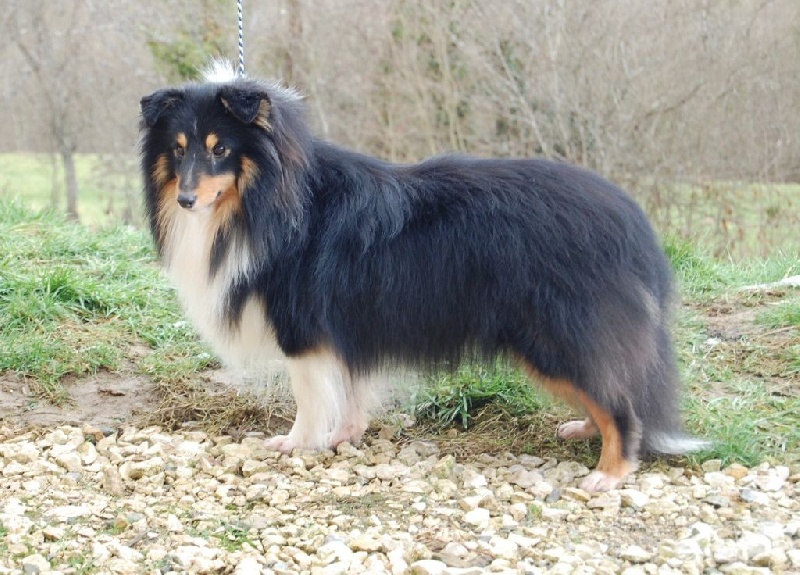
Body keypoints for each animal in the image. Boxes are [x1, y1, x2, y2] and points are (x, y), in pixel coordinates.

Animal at [139, 64, 708, 496]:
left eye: (221, 149)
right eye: (180, 147)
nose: (186, 200)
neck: (272, 198)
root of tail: (630, 221)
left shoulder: (304, 329)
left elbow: (312, 395)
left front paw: (297, 443)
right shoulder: (348, 325)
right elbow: (350, 389)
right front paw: (345, 436)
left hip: (557, 331)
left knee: (620, 401)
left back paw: (609, 473)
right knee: (610, 386)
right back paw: (583, 429)